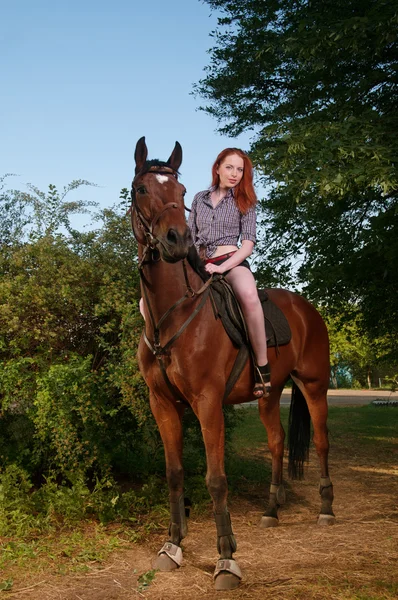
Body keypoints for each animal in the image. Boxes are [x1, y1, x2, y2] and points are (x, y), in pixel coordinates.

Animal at [131, 137, 336, 592]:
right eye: (142, 189)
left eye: (181, 192)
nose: (176, 239)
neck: (172, 314)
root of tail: (307, 308)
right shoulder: (162, 405)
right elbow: (174, 473)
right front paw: (172, 547)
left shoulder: (208, 404)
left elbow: (215, 479)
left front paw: (226, 559)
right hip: (269, 394)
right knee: (277, 441)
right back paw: (272, 510)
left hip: (314, 386)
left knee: (320, 442)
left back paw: (327, 509)